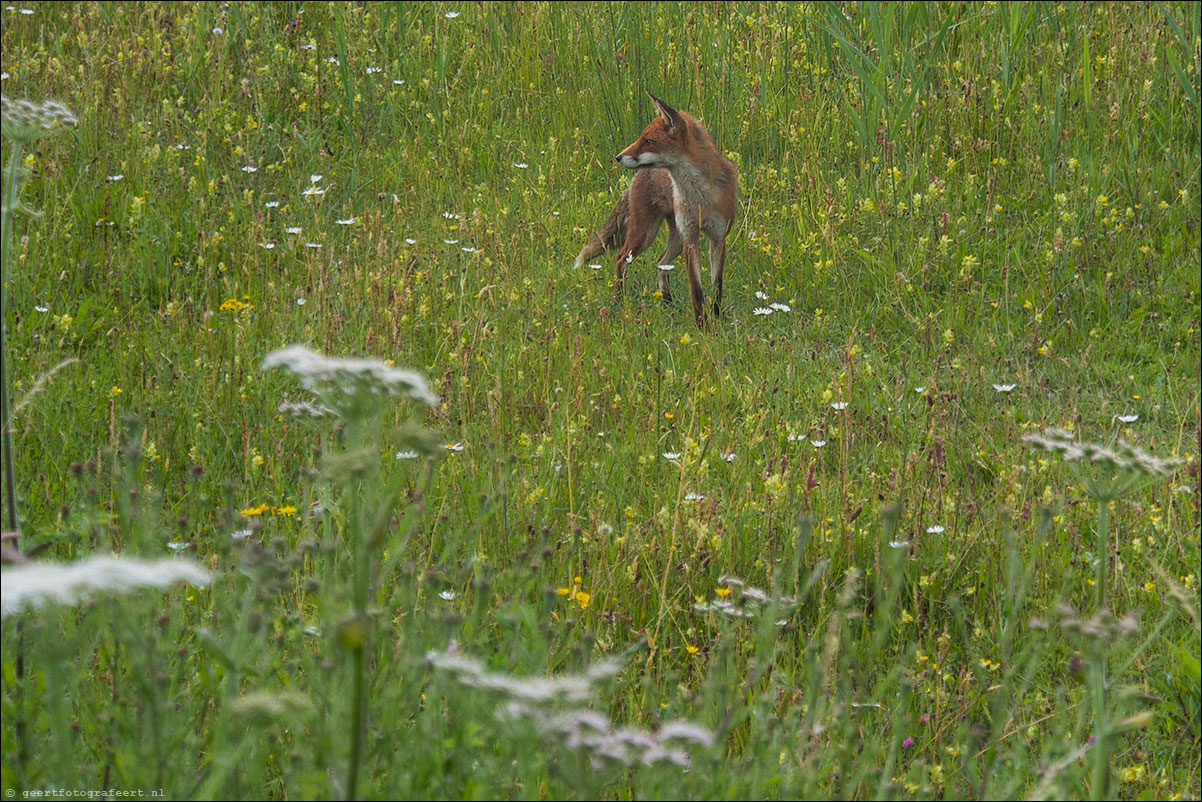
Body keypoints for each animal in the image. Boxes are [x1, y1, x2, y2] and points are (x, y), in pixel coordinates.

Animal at [576, 94, 735, 329]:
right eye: (642, 138)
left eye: (648, 141)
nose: (618, 157)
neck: (699, 198)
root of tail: (636, 178)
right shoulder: (690, 240)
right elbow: (696, 290)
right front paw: (702, 327)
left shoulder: (717, 237)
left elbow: (717, 286)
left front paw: (717, 320)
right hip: (645, 234)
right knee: (621, 258)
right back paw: (619, 302)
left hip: (675, 238)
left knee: (660, 263)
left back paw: (667, 302)